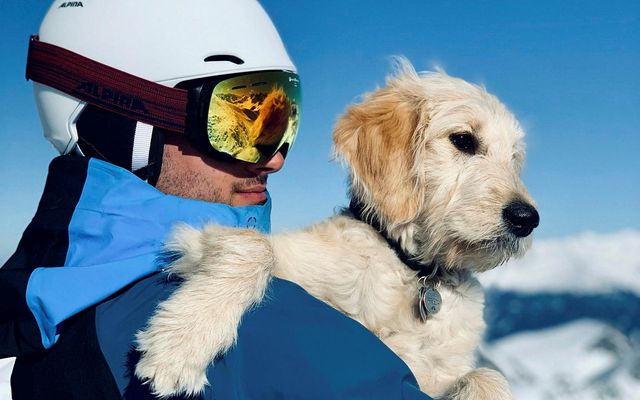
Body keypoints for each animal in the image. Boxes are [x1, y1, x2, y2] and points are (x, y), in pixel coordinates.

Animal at [135, 60, 540, 400]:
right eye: (463, 140)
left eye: (514, 159)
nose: (527, 219)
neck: (413, 272)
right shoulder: (199, 237)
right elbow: (255, 246)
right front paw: (182, 341)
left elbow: (488, 376)